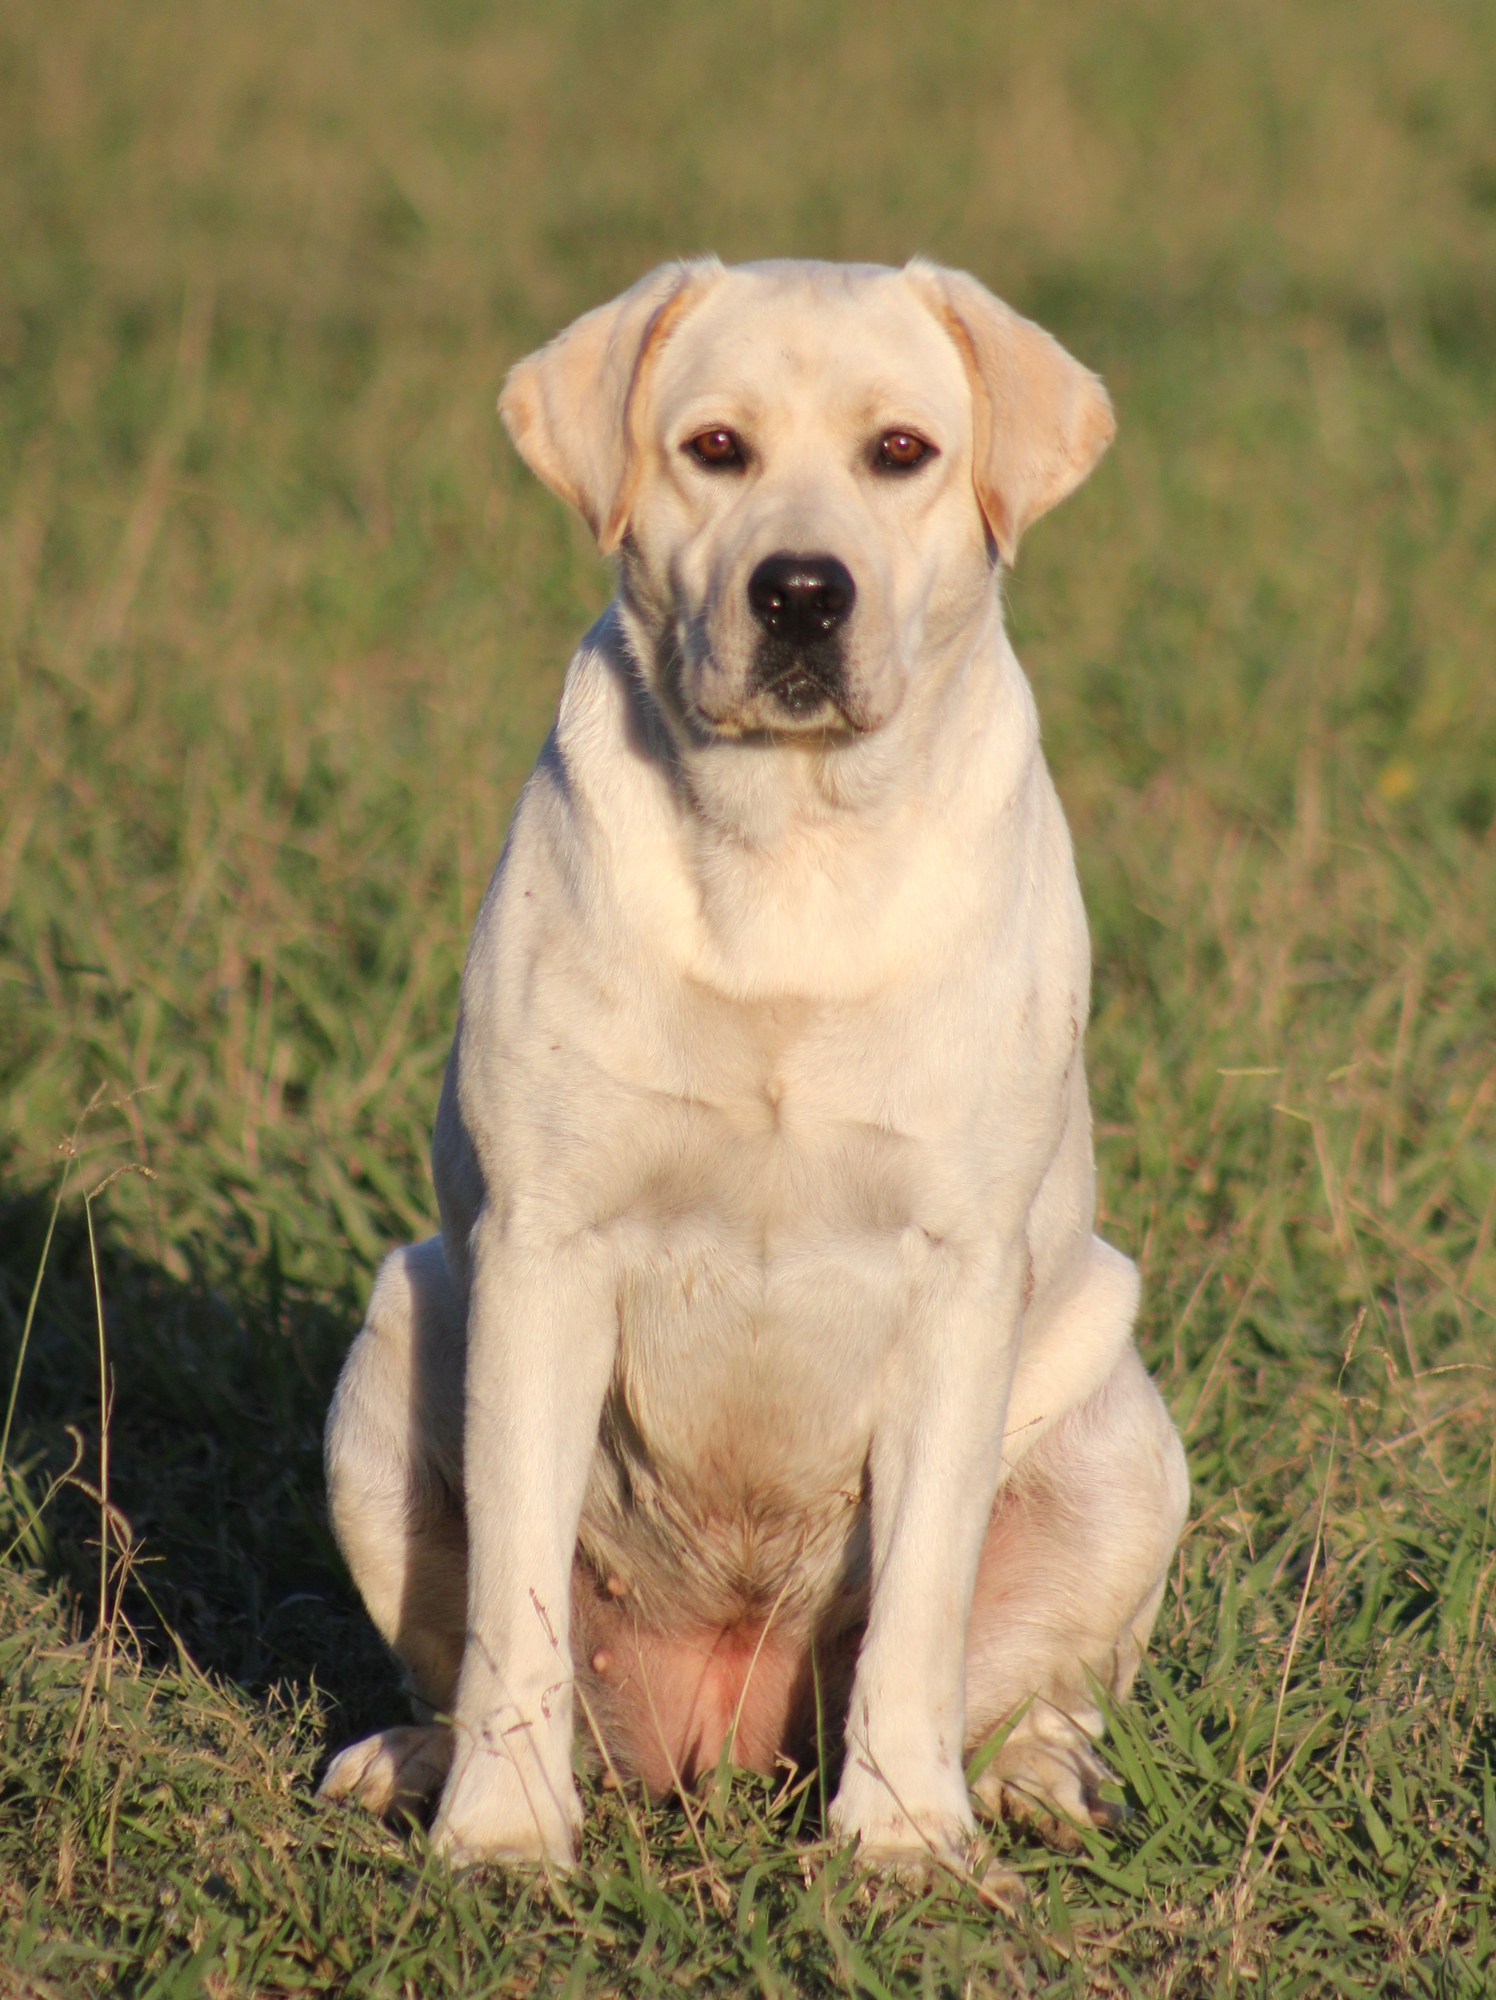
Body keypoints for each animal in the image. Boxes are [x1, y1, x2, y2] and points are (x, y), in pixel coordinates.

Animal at [318, 254, 1192, 1872]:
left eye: (901, 451)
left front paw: (901, 1839)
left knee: (1017, 1687)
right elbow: (516, 1604)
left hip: (1125, 1441)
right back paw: (417, 1762)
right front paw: (504, 1838)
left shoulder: (957, 1273)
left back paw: (1032, 1783)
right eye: (713, 447)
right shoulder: (543, 1248)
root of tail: (718, 1734)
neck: (790, 839)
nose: (799, 588)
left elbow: (919, 1600)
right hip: (393, 1352)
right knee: (464, 1655)